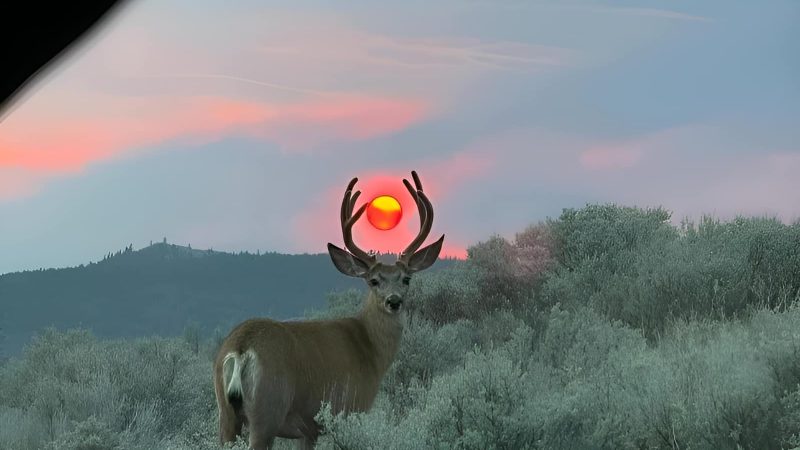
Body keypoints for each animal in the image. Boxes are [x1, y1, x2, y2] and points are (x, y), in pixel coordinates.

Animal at [212, 171, 444, 448]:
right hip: (267, 412)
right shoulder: (347, 411)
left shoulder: (306, 430)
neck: (369, 349)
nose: (394, 301)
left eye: (406, 279)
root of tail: (240, 348)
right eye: (373, 280)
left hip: (226, 415)